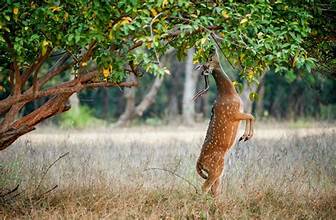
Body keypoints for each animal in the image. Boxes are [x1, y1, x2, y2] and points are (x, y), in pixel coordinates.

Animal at [194, 54, 255, 197]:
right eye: (210, 59)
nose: (212, 50)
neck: (229, 93)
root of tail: (199, 163)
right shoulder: (233, 113)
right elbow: (251, 116)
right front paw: (245, 136)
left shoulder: (238, 112)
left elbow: (250, 116)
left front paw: (244, 136)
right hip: (216, 167)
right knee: (205, 188)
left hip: (216, 171)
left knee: (214, 190)